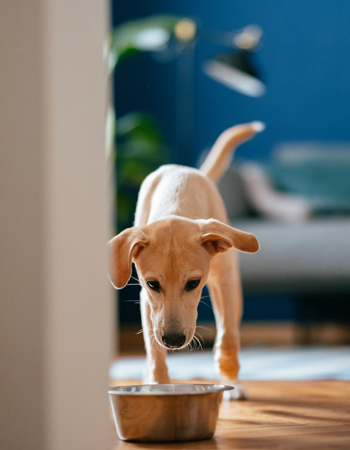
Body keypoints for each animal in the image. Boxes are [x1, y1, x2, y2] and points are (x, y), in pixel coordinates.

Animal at [108, 121, 262, 400]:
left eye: (193, 283)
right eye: (153, 284)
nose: (173, 340)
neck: (177, 201)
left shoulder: (224, 282)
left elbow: (228, 337)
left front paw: (229, 374)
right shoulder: (147, 300)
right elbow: (155, 354)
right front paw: (157, 386)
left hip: (235, 292)